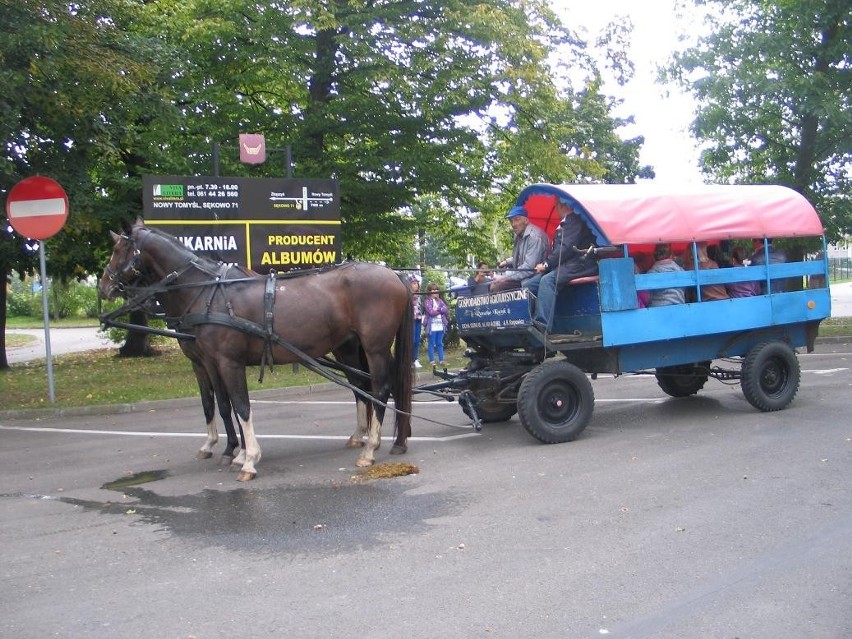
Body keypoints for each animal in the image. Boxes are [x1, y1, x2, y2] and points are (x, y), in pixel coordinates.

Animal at [100, 220, 412, 480]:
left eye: (118, 249)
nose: (104, 287)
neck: (207, 292)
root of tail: (394, 274)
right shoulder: (208, 362)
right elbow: (219, 404)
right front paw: (233, 452)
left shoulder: (226, 361)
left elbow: (239, 406)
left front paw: (247, 458)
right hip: (347, 347)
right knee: (362, 386)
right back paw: (375, 438)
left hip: (375, 347)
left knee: (380, 388)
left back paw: (371, 448)